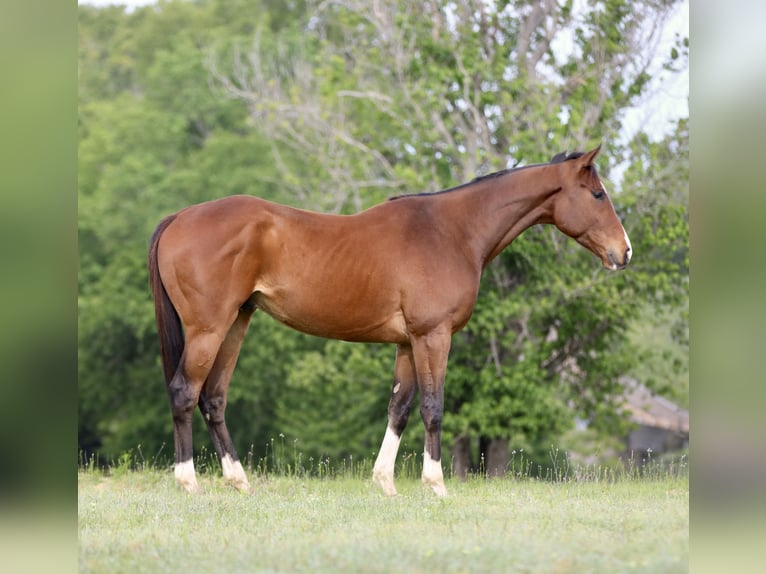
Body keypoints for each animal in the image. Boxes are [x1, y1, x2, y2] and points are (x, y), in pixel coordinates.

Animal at [148, 144, 631, 496]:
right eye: (598, 194)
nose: (623, 252)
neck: (451, 232)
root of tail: (179, 217)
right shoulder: (433, 336)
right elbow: (433, 407)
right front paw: (436, 486)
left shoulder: (406, 342)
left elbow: (399, 407)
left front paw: (385, 484)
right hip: (209, 330)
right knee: (184, 392)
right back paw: (188, 482)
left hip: (236, 323)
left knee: (213, 398)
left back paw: (239, 481)